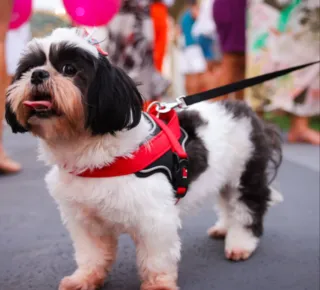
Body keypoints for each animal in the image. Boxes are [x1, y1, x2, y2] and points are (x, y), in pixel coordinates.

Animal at [5, 27, 282, 290]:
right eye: (27, 69)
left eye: (69, 69)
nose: (38, 75)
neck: (94, 154)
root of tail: (245, 111)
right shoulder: (87, 221)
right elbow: (91, 255)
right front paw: (85, 279)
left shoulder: (154, 219)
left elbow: (155, 260)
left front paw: (158, 285)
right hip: (225, 176)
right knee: (227, 202)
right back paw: (225, 227)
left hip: (245, 172)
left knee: (248, 207)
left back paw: (241, 242)